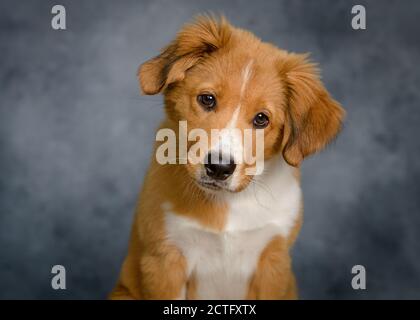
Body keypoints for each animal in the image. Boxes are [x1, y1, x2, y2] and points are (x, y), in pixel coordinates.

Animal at [110, 15, 344, 300]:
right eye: (207, 99)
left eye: (261, 119)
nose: (219, 168)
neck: (229, 203)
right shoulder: (164, 260)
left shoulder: (273, 263)